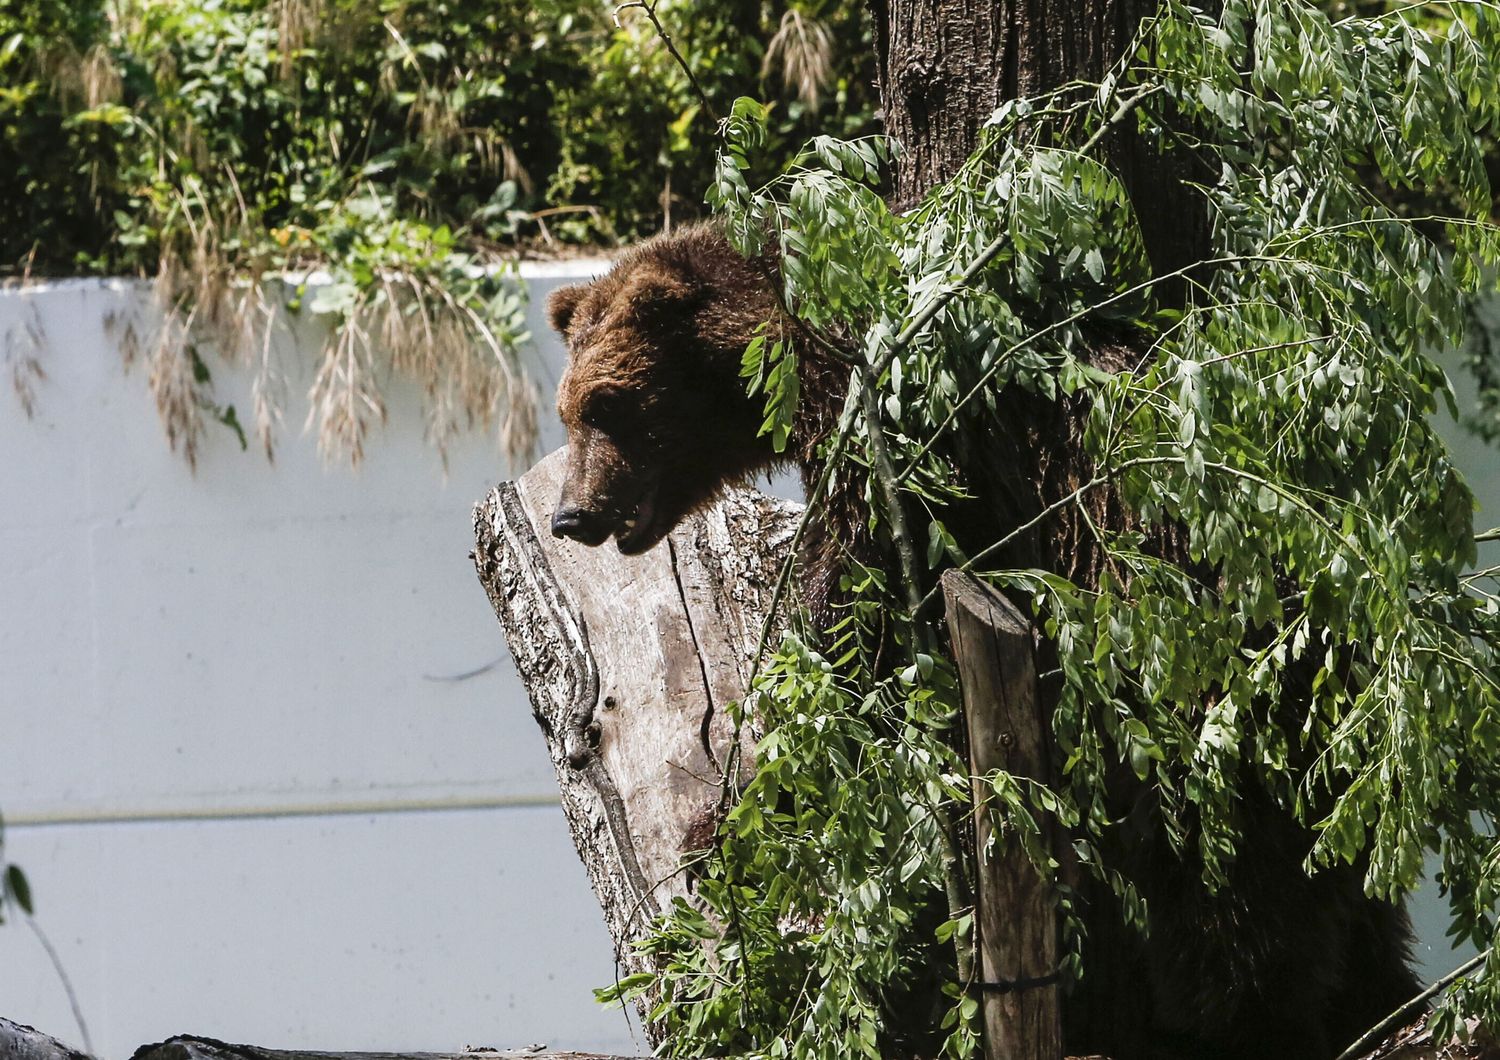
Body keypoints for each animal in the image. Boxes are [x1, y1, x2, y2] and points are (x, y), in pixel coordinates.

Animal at [543, 223, 1416, 1060]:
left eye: (609, 404)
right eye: (569, 410)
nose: (570, 516)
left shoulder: (923, 457)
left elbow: (859, 611)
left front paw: (744, 798)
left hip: (1209, 669)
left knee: (1223, 869)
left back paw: (1232, 1021)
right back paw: (1369, 999)